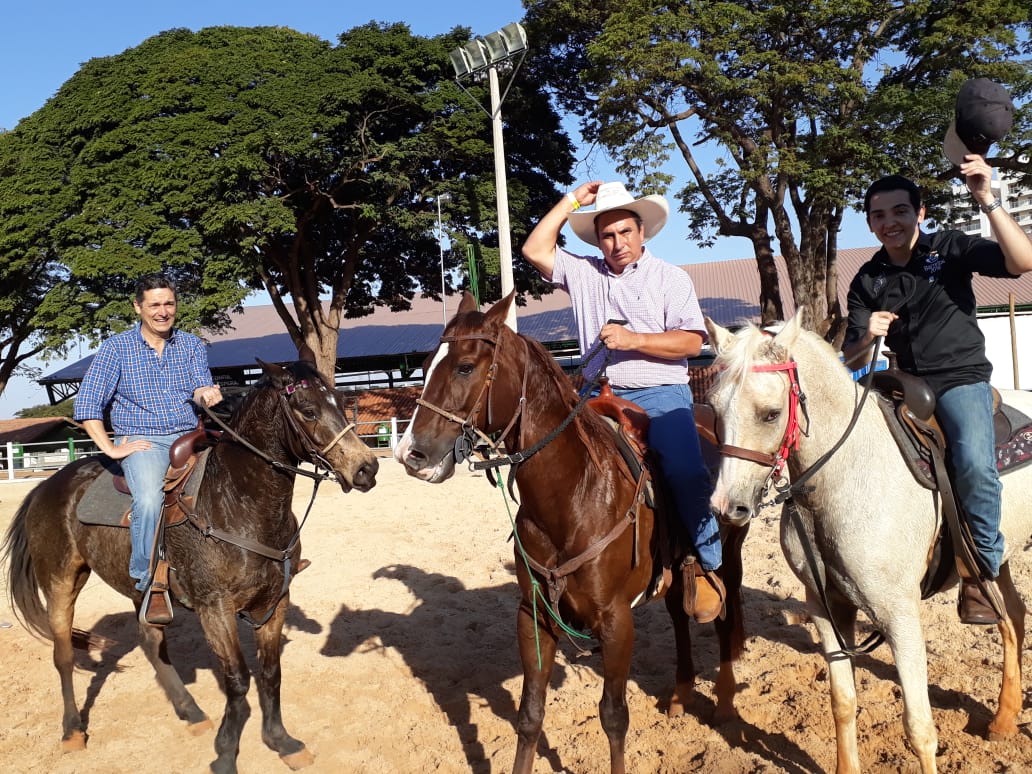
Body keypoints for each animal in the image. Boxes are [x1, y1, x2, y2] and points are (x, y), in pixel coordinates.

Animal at [3, 352, 379, 774]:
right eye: (309, 410)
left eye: (342, 401)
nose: (367, 468)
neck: (235, 501)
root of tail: (45, 486)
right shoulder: (214, 608)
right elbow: (237, 679)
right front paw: (226, 753)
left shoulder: (273, 604)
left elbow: (270, 674)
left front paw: (282, 741)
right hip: (61, 580)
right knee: (64, 654)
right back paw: (72, 731)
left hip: (143, 593)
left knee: (150, 642)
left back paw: (191, 711)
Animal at [392, 293, 743, 774]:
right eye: (426, 365)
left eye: (464, 366)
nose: (411, 455)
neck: (575, 495)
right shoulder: (533, 616)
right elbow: (529, 715)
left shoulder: (616, 621)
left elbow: (613, 717)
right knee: (678, 613)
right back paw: (679, 695)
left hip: (728, 554)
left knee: (725, 616)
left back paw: (725, 705)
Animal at [705, 311, 1032, 774]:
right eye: (715, 409)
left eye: (770, 414)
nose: (725, 506)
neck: (844, 474)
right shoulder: (827, 608)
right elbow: (843, 702)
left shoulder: (900, 615)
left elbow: (919, 727)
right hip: (995, 562)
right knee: (1013, 617)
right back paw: (1003, 720)